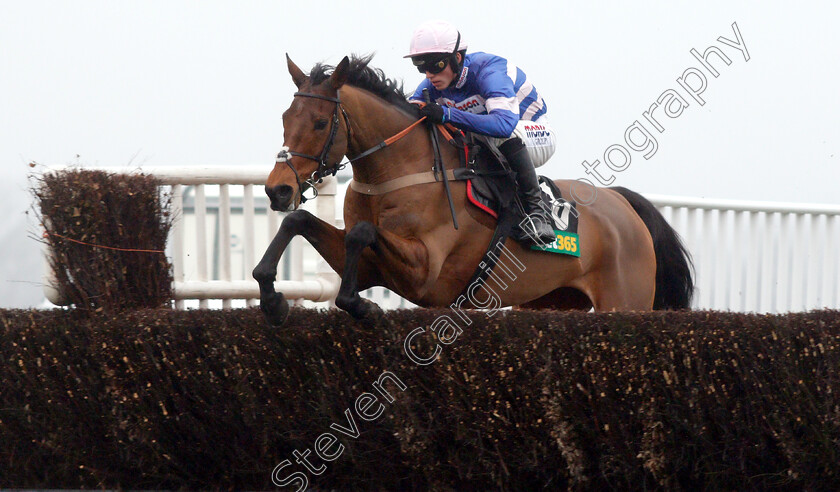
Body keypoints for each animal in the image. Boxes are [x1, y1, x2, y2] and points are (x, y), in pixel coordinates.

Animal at [253, 54, 692, 326]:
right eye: (286, 117)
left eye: (320, 123)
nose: (278, 189)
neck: (398, 171)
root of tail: (624, 203)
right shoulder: (369, 268)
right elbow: (298, 221)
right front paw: (272, 300)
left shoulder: (426, 273)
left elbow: (361, 233)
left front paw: (362, 307)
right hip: (550, 301)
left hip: (625, 301)